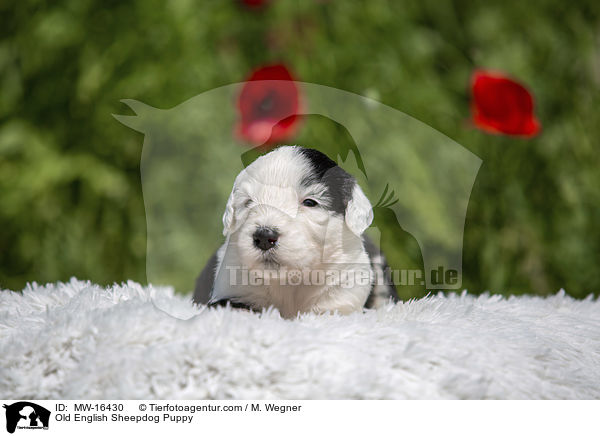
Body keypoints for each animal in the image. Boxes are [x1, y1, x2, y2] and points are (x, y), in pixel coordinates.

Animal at [193, 145, 398, 318]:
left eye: (309, 202)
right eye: (248, 202)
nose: (264, 237)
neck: (289, 281)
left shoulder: (342, 296)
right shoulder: (234, 290)